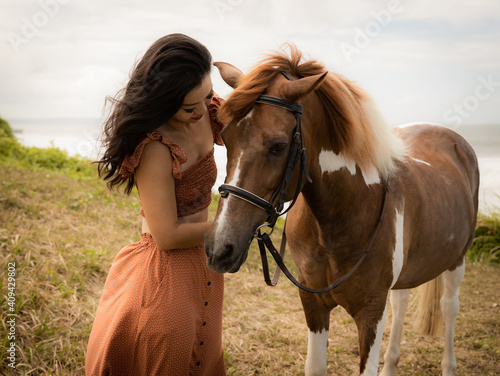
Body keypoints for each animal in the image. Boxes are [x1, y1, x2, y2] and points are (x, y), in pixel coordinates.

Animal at [204, 46, 480, 376]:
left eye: (278, 146)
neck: (337, 221)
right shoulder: (313, 303)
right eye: (225, 137)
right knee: (401, 301)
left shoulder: (371, 312)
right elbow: (315, 366)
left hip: (457, 261)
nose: (219, 248)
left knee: (450, 308)